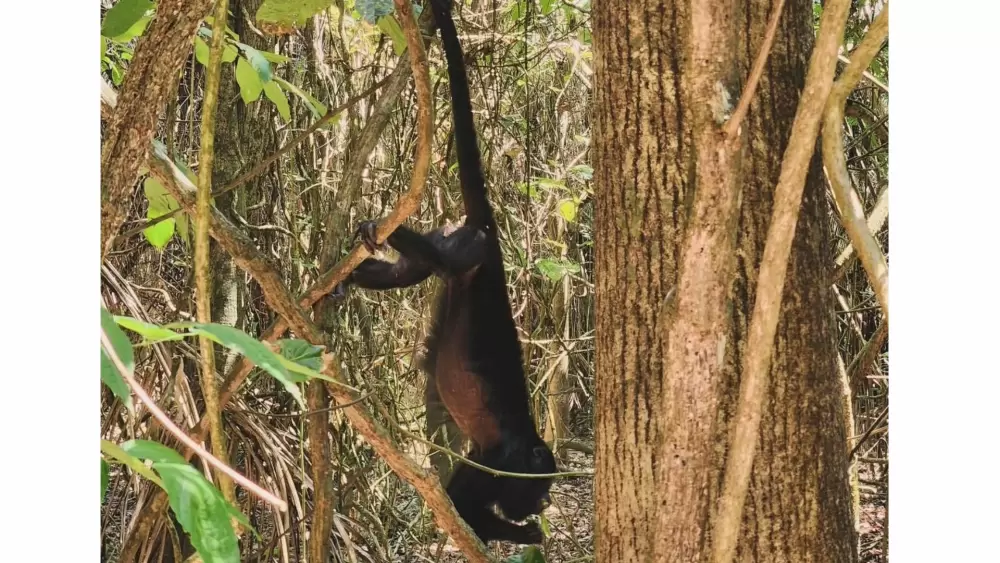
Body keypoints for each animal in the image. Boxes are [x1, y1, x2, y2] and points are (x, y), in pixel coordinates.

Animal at [331, 0, 556, 545]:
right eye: (540, 485)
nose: (543, 504)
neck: (526, 441)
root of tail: (491, 236)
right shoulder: (502, 463)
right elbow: (463, 506)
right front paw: (528, 534)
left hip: (454, 242)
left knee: (414, 270)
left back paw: (350, 273)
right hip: (470, 248)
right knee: (442, 258)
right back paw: (380, 228)